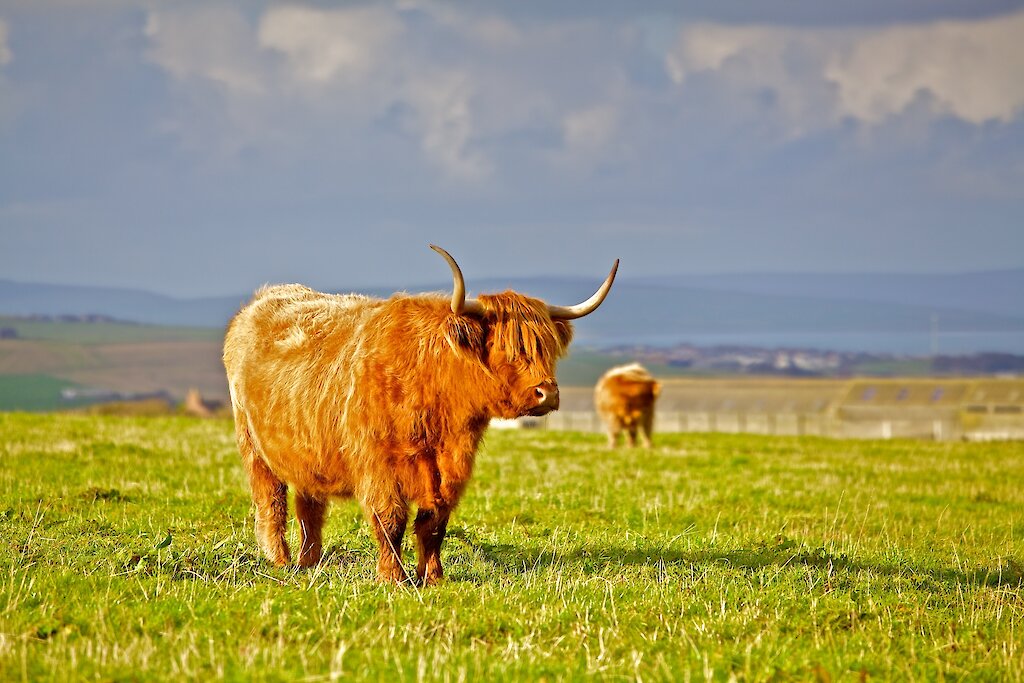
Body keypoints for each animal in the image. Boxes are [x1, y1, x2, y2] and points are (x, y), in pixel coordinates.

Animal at [223, 248, 614, 585]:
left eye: (546, 348)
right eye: (506, 348)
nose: (547, 393)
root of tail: (265, 299)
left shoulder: (450, 471)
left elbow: (433, 523)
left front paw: (432, 576)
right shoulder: (379, 466)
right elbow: (390, 521)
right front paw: (393, 577)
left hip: (306, 449)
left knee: (309, 507)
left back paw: (309, 561)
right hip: (253, 446)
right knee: (271, 502)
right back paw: (281, 560)